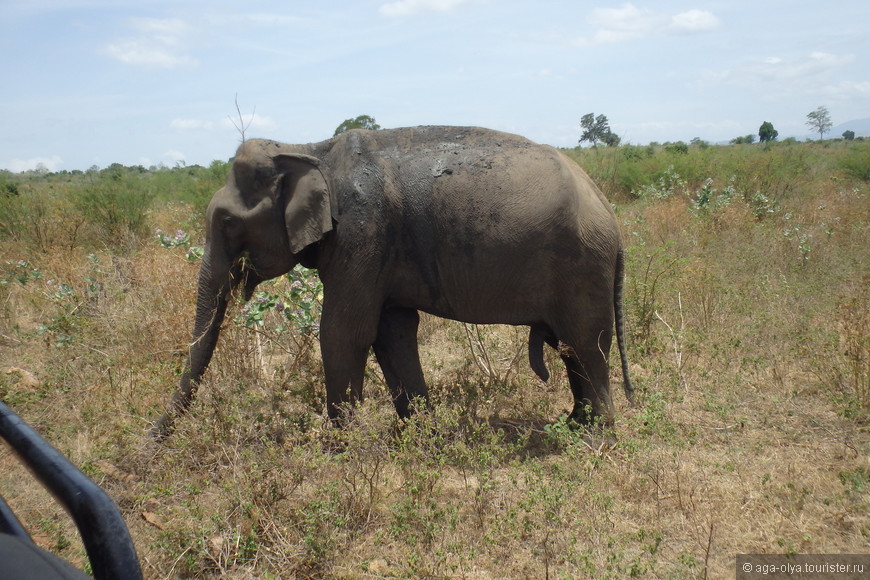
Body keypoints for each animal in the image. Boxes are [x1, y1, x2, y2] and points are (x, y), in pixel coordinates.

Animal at [153, 124, 632, 438]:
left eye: (228, 222)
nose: (152, 440)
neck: (307, 147)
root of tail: (608, 212)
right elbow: (392, 331)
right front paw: (419, 435)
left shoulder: (365, 229)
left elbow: (344, 331)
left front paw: (338, 448)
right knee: (570, 347)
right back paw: (573, 424)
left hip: (582, 265)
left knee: (586, 343)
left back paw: (595, 436)